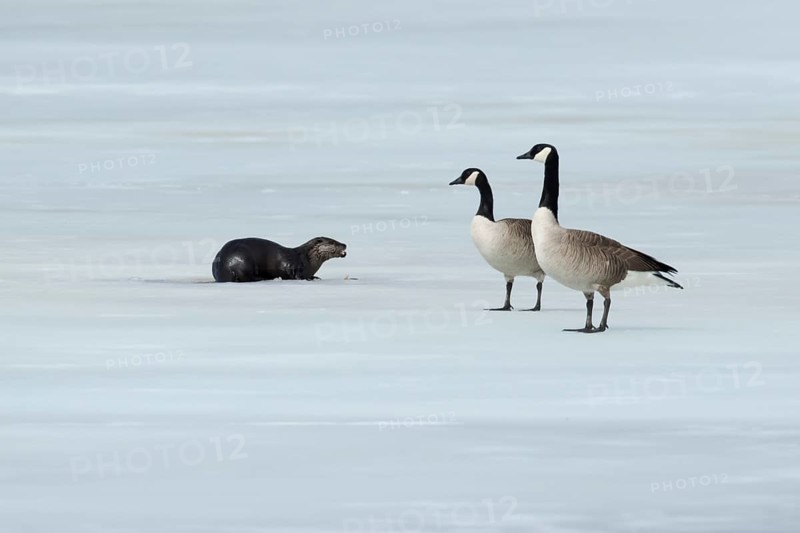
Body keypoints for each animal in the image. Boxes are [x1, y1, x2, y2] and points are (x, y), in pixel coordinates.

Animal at [212, 236, 347, 282]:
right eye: (333, 242)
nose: (344, 244)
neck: (307, 259)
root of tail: (225, 267)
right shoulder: (295, 266)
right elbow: (297, 275)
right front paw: (308, 279)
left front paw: (315, 277)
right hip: (245, 261)